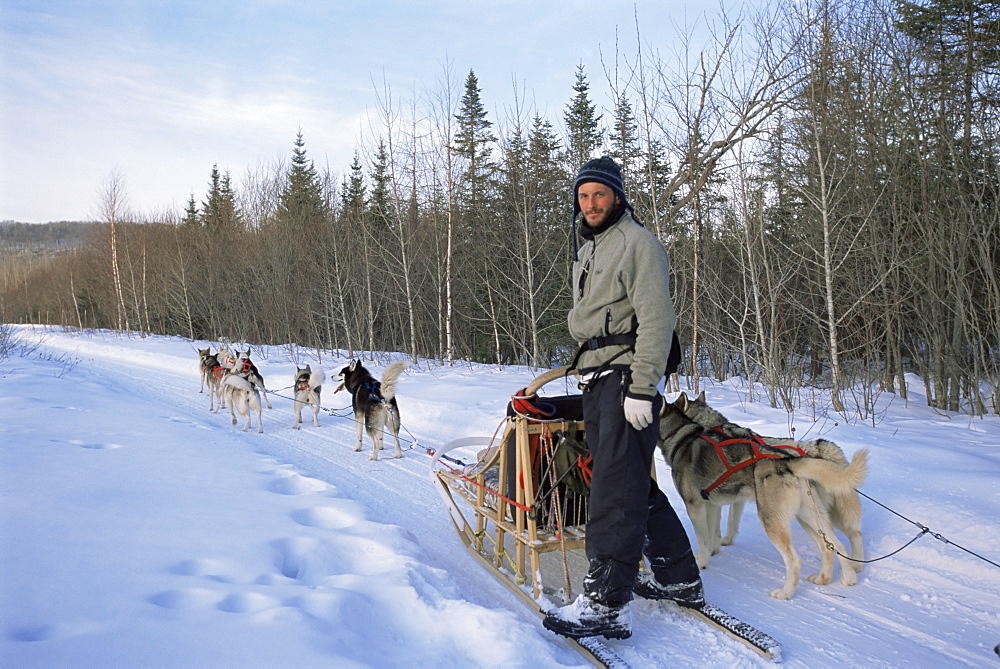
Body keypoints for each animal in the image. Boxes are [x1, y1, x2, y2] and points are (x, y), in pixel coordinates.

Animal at [660, 396, 864, 600]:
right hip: (810, 517)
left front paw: (703, 560)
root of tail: (789, 460)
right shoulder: (713, 504)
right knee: (833, 545)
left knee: (804, 555)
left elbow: (706, 536)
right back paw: (839, 578)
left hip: (775, 521)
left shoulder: (696, 505)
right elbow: (714, 532)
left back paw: (786, 592)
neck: (683, 436)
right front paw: (715, 549)